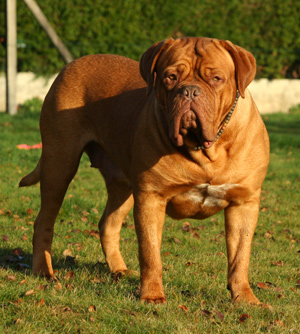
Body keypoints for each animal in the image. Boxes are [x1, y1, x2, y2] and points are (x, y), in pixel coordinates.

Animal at [19, 37, 270, 304]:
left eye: (216, 78)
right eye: (170, 77)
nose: (190, 91)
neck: (204, 151)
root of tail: (72, 64)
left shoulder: (244, 203)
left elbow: (240, 258)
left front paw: (245, 298)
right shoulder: (151, 197)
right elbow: (150, 254)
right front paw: (152, 295)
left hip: (123, 185)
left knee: (108, 223)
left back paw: (119, 269)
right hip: (59, 164)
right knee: (44, 221)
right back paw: (44, 272)